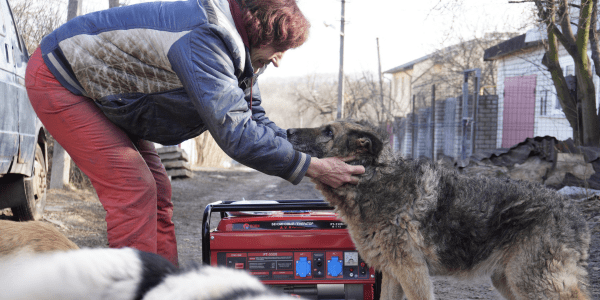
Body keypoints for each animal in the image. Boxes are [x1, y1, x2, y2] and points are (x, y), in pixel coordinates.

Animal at [288, 119, 592, 300]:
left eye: (329, 132)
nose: (287, 131)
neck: (375, 178)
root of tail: (575, 214)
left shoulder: (413, 273)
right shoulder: (393, 274)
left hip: (531, 282)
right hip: (509, 280)